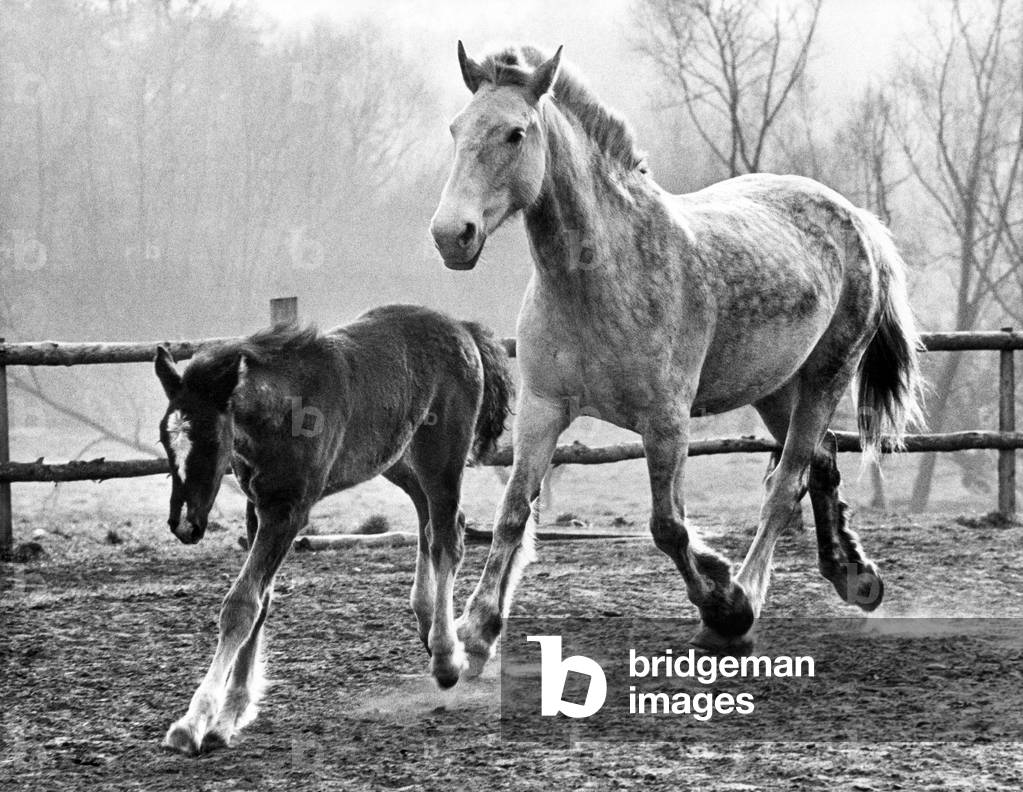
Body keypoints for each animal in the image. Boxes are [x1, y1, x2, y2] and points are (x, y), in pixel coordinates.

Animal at [153, 304, 512, 755]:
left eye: (211, 441)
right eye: (165, 441)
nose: (185, 524)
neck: (286, 411)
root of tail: (460, 326)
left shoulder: (288, 511)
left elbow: (242, 606)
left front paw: (194, 723)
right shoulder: (259, 509)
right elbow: (261, 602)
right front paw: (231, 715)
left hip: (441, 455)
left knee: (448, 537)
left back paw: (447, 658)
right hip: (396, 456)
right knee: (430, 520)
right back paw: (426, 621)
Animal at [430, 43, 923, 675]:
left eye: (515, 133)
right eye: (456, 128)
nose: (452, 235)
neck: (600, 275)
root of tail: (857, 221)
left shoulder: (666, 421)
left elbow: (668, 527)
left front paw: (722, 601)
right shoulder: (544, 408)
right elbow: (514, 512)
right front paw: (477, 630)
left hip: (826, 375)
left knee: (785, 484)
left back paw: (745, 601)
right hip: (775, 388)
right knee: (823, 461)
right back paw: (853, 575)